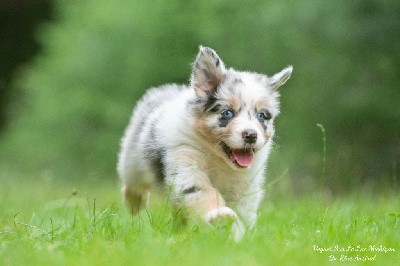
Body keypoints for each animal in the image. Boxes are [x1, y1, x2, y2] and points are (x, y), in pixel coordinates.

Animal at [117, 45, 292, 241]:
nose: (251, 135)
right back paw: (135, 204)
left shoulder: (246, 184)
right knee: (133, 183)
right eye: (227, 113)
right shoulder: (184, 156)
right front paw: (219, 215)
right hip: (132, 158)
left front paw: (236, 236)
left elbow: (242, 213)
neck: (219, 158)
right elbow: (200, 190)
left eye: (261, 115)